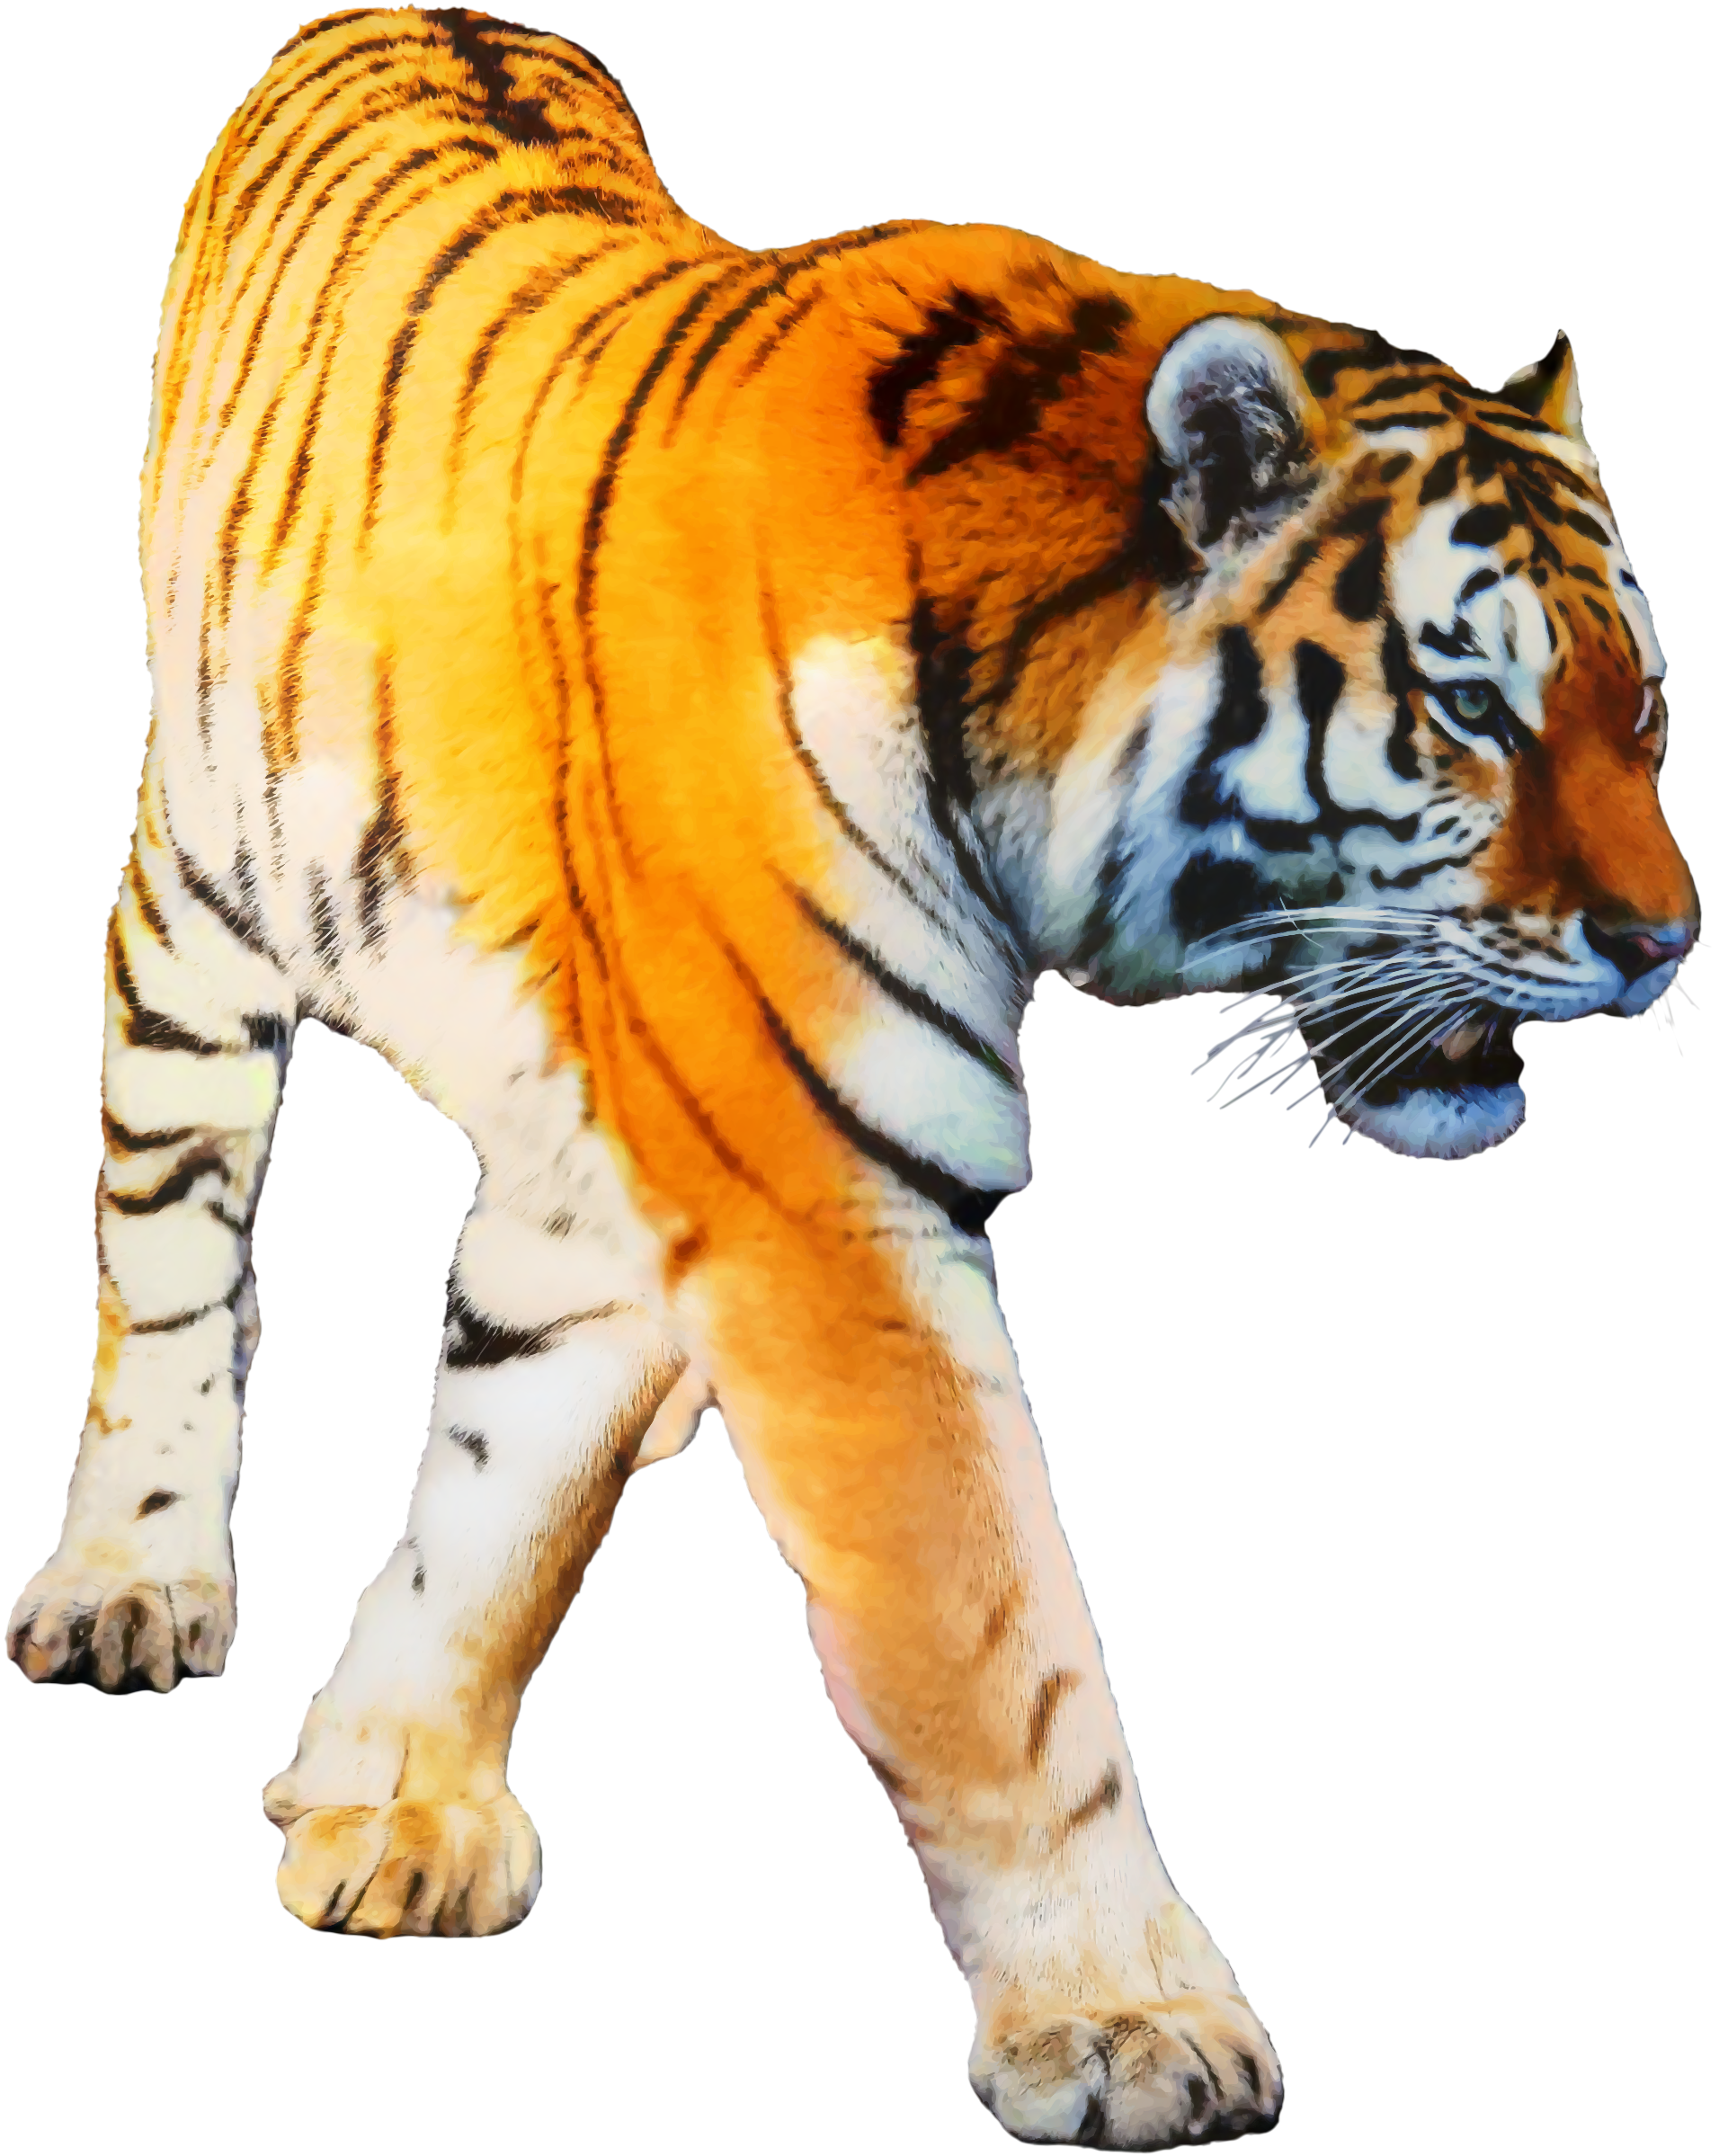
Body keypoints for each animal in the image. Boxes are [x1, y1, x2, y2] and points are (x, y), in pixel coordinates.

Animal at [7, 6, 1696, 2143]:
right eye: (1468, 705)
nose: (1665, 942)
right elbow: (998, 1637)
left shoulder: (641, 1164)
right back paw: (130, 1583)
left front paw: (396, 1793)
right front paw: (1128, 2024)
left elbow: (506, 1486)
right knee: (168, 1251)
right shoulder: (824, 1196)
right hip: (201, 897)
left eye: (1642, 710)